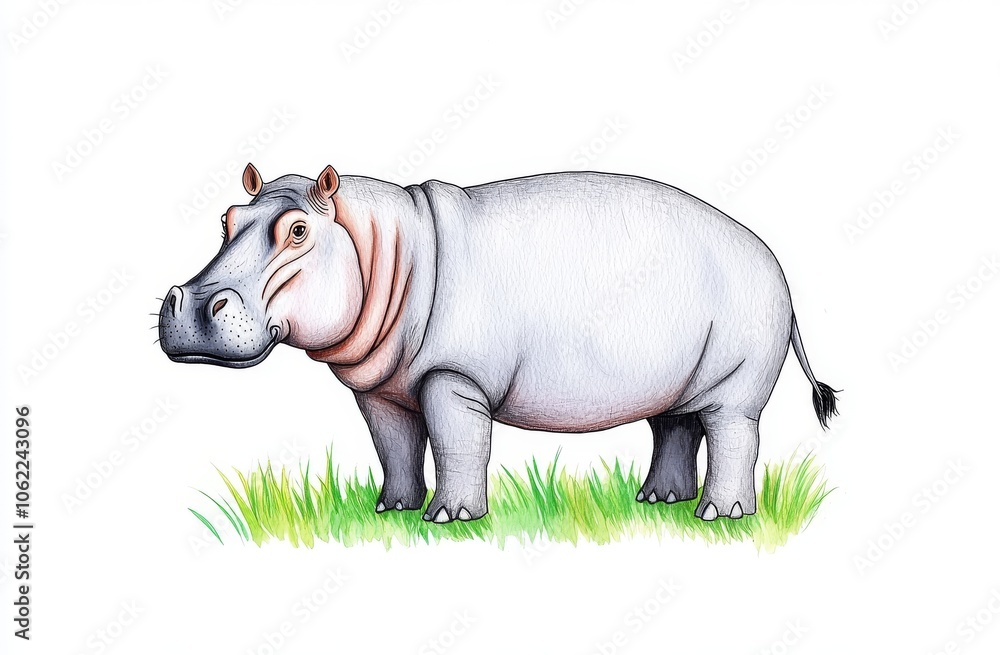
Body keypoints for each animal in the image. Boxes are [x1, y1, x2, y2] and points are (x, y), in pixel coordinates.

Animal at [159, 163, 837, 523]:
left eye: (298, 230)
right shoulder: (381, 389)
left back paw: (720, 515)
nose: (189, 302)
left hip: (737, 379)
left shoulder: (454, 377)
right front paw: (393, 511)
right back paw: (658, 502)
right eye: (225, 218)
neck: (383, 247)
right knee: (676, 425)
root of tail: (775, 262)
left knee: (732, 434)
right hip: (679, 378)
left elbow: (457, 443)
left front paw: (450, 520)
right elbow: (395, 446)